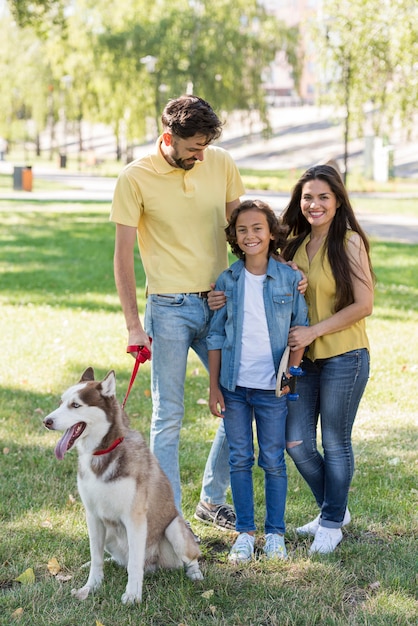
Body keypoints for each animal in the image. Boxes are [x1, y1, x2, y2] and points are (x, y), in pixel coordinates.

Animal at [43, 368, 203, 604]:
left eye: (76, 405)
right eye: (61, 402)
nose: (46, 421)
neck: (101, 453)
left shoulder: (134, 518)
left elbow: (135, 565)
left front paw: (133, 595)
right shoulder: (92, 516)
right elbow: (96, 556)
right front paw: (91, 586)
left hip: (174, 529)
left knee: (190, 557)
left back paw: (195, 573)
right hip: (109, 533)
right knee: (112, 557)